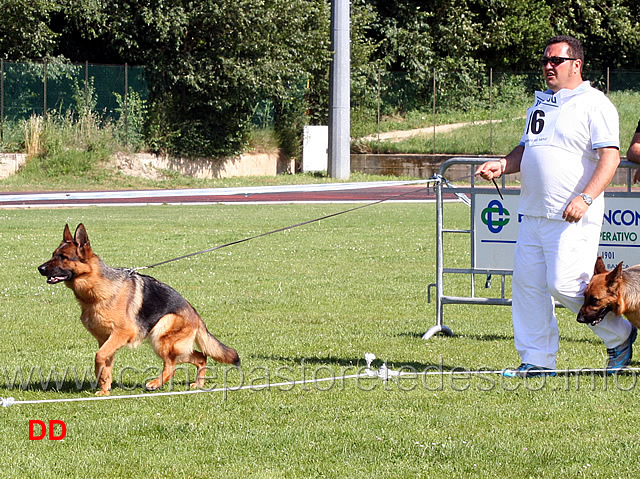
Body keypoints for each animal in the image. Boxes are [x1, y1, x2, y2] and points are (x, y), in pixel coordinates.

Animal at [38, 223, 241, 396]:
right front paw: (104, 388)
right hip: (175, 345)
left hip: (161, 336)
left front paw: (101, 381)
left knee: (172, 366)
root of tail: (196, 315)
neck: (96, 289)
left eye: (63, 257)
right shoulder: (106, 339)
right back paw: (198, 384)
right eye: (53, 254)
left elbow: (99, 356)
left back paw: (155, 383)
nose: (40, 268)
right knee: (201, 357)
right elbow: (105, 361)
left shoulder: (121, 333)